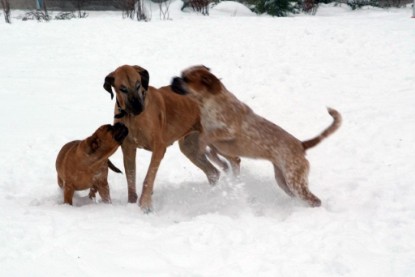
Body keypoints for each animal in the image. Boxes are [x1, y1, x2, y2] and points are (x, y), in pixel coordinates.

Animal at [103, 64, 242, 211]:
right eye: (123, 88)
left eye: (138, 84)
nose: (138, 107)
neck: (132, 117)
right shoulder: (128, 149)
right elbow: (130, 179)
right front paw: (132, 203)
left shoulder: (159, 148)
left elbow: (149, 177)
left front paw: (145, 204)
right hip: (190, 147)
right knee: (213, 172)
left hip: (217, 140)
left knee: (235, 160)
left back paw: (236, 183)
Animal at [171, 65, 342, 207]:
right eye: (181, 73)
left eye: (186, 79)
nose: (174, 78)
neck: (210, 103)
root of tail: (301, 145)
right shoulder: (221, 147)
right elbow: (213, 151)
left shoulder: (228, 131)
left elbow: (207, 138)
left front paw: (202, 148)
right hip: (283, 180)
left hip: (295, 181)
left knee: (315, 200)